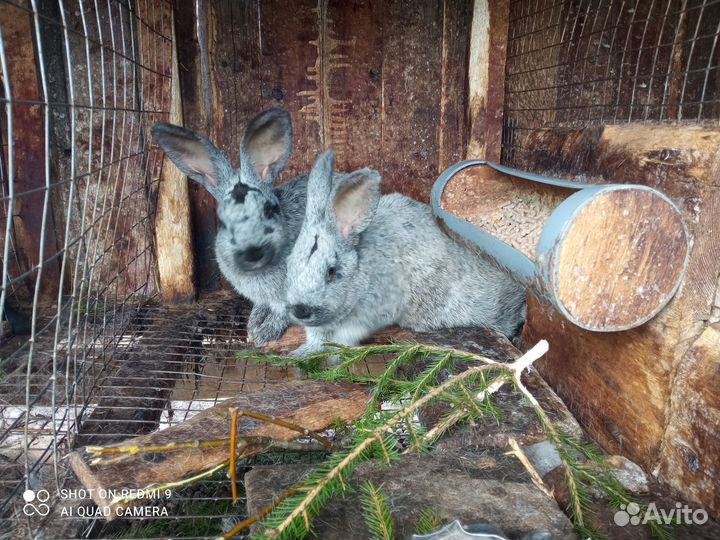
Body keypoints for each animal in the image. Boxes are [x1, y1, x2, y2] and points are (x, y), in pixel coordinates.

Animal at [285, 150, 526, 355]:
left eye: (331, 271)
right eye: (288, 265)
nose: (300, 310)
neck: (362, 271)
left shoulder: (371, 313)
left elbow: (343, 338)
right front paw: (301, 352)